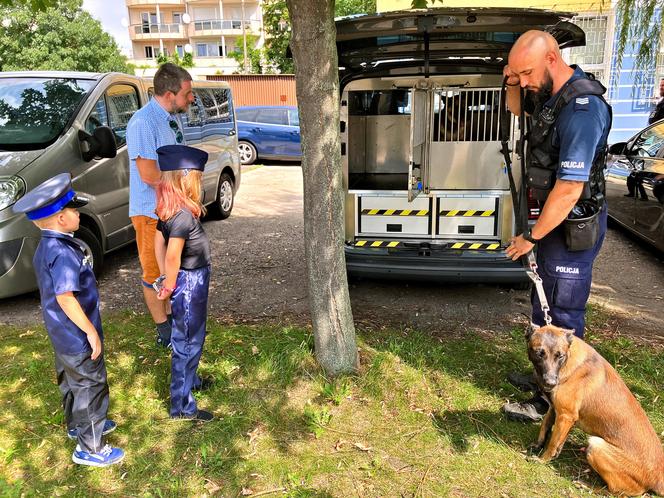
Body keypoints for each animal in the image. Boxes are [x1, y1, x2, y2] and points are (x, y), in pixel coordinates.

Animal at [528, 322, 660, 494]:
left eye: (560, 356)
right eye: (539, 353)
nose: (550, 383)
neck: (569, 362)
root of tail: (657, 477)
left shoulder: (565, 415)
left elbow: (552, 443)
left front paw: (542, 460)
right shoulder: (557, 410)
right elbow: (546, 426)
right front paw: (539, 445)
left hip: (596, 445)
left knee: (619, 490)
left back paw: (586, 485)